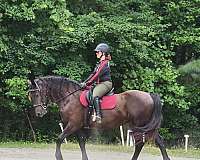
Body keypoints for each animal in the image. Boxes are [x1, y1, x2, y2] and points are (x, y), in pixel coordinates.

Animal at [27, 75, 170, 160]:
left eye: (37, 94)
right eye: (31, 96)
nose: (39, 113)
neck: (70, 97)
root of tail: (149, 95)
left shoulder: (72, 125)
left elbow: (59, 139)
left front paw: (59, 157)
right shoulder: (78, 127)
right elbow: (81, 143)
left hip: (139, 124)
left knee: (141, 143)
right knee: (158, 141)